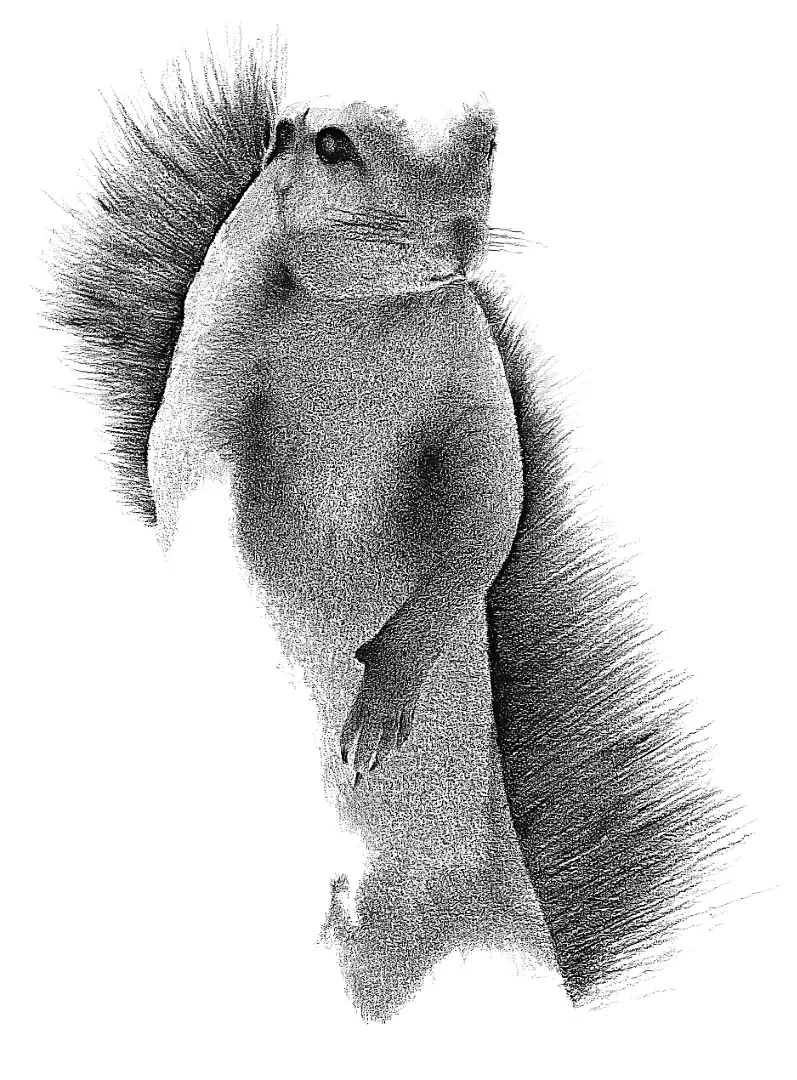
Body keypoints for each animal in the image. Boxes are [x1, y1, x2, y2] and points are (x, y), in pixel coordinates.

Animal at [46, 42, 735, 1016]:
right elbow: (190, 487)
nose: (457, 237)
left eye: (489, 139)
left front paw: (381, 702)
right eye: (330, 143)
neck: (359, 318)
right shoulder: (206, 369)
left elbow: (486, 513)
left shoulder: (473, 381)